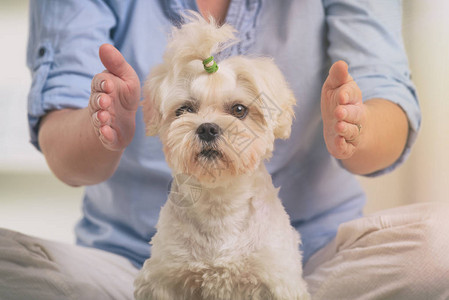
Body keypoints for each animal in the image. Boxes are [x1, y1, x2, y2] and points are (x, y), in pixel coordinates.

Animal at [133, 12, 308, 300]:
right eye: (184, 110)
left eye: (239, 110)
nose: (207, 127)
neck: (219, 206)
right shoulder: (163, 279)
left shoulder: (277, 279)